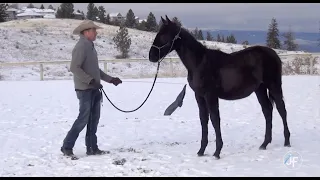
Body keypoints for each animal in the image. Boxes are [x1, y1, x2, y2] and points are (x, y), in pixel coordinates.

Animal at [149, 15, 292, 159]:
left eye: (164, 35)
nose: (151, 56)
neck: (199, 63)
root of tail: (273, 54)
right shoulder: (199, 96)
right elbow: (203, 119)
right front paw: (201, 151)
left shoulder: (211, 95)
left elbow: (214, 119)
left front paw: (217, 151)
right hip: (260, 89)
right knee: (267, 111)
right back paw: (265, 143)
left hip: (274, 86)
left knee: (282, 110)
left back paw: (287, 141)